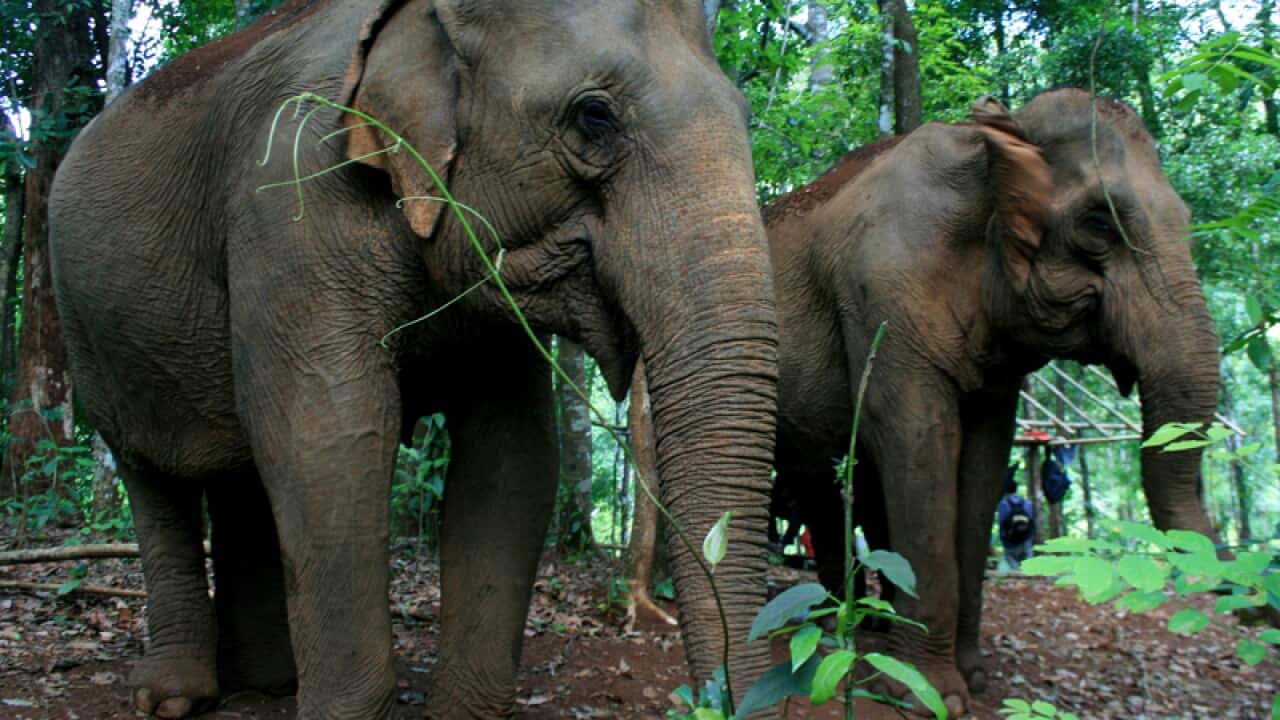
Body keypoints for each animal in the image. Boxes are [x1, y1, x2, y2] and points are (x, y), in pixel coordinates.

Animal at [49, 0, 779, 717]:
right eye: (594, 116)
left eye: (747, 119)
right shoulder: (290, 204)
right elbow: (328, 441)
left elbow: (512, 457)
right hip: (89, 334)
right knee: (153, 479)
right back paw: (173, 694)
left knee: (240, 475)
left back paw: (267, 680)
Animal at [766, 89, 1219, 715]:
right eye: (1099, 223)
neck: (988, 143)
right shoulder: (882, 296)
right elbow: (917, 439)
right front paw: (926, 695)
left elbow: (984, 462)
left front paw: (972, 677)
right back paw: (831, 628)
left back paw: (861, 628)